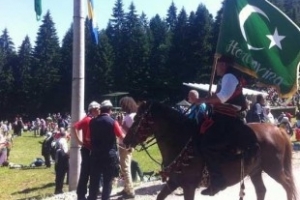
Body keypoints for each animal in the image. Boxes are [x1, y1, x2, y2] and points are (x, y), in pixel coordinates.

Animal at [123, 101, 296, 200]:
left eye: (138, 118)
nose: (125, 140)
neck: (182, 141)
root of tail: (277, 129)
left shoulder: (189, 186)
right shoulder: (173, 182)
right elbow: (159, 196)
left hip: (274, 168)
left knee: (288, 186)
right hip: (255, 170)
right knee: (261, 190)